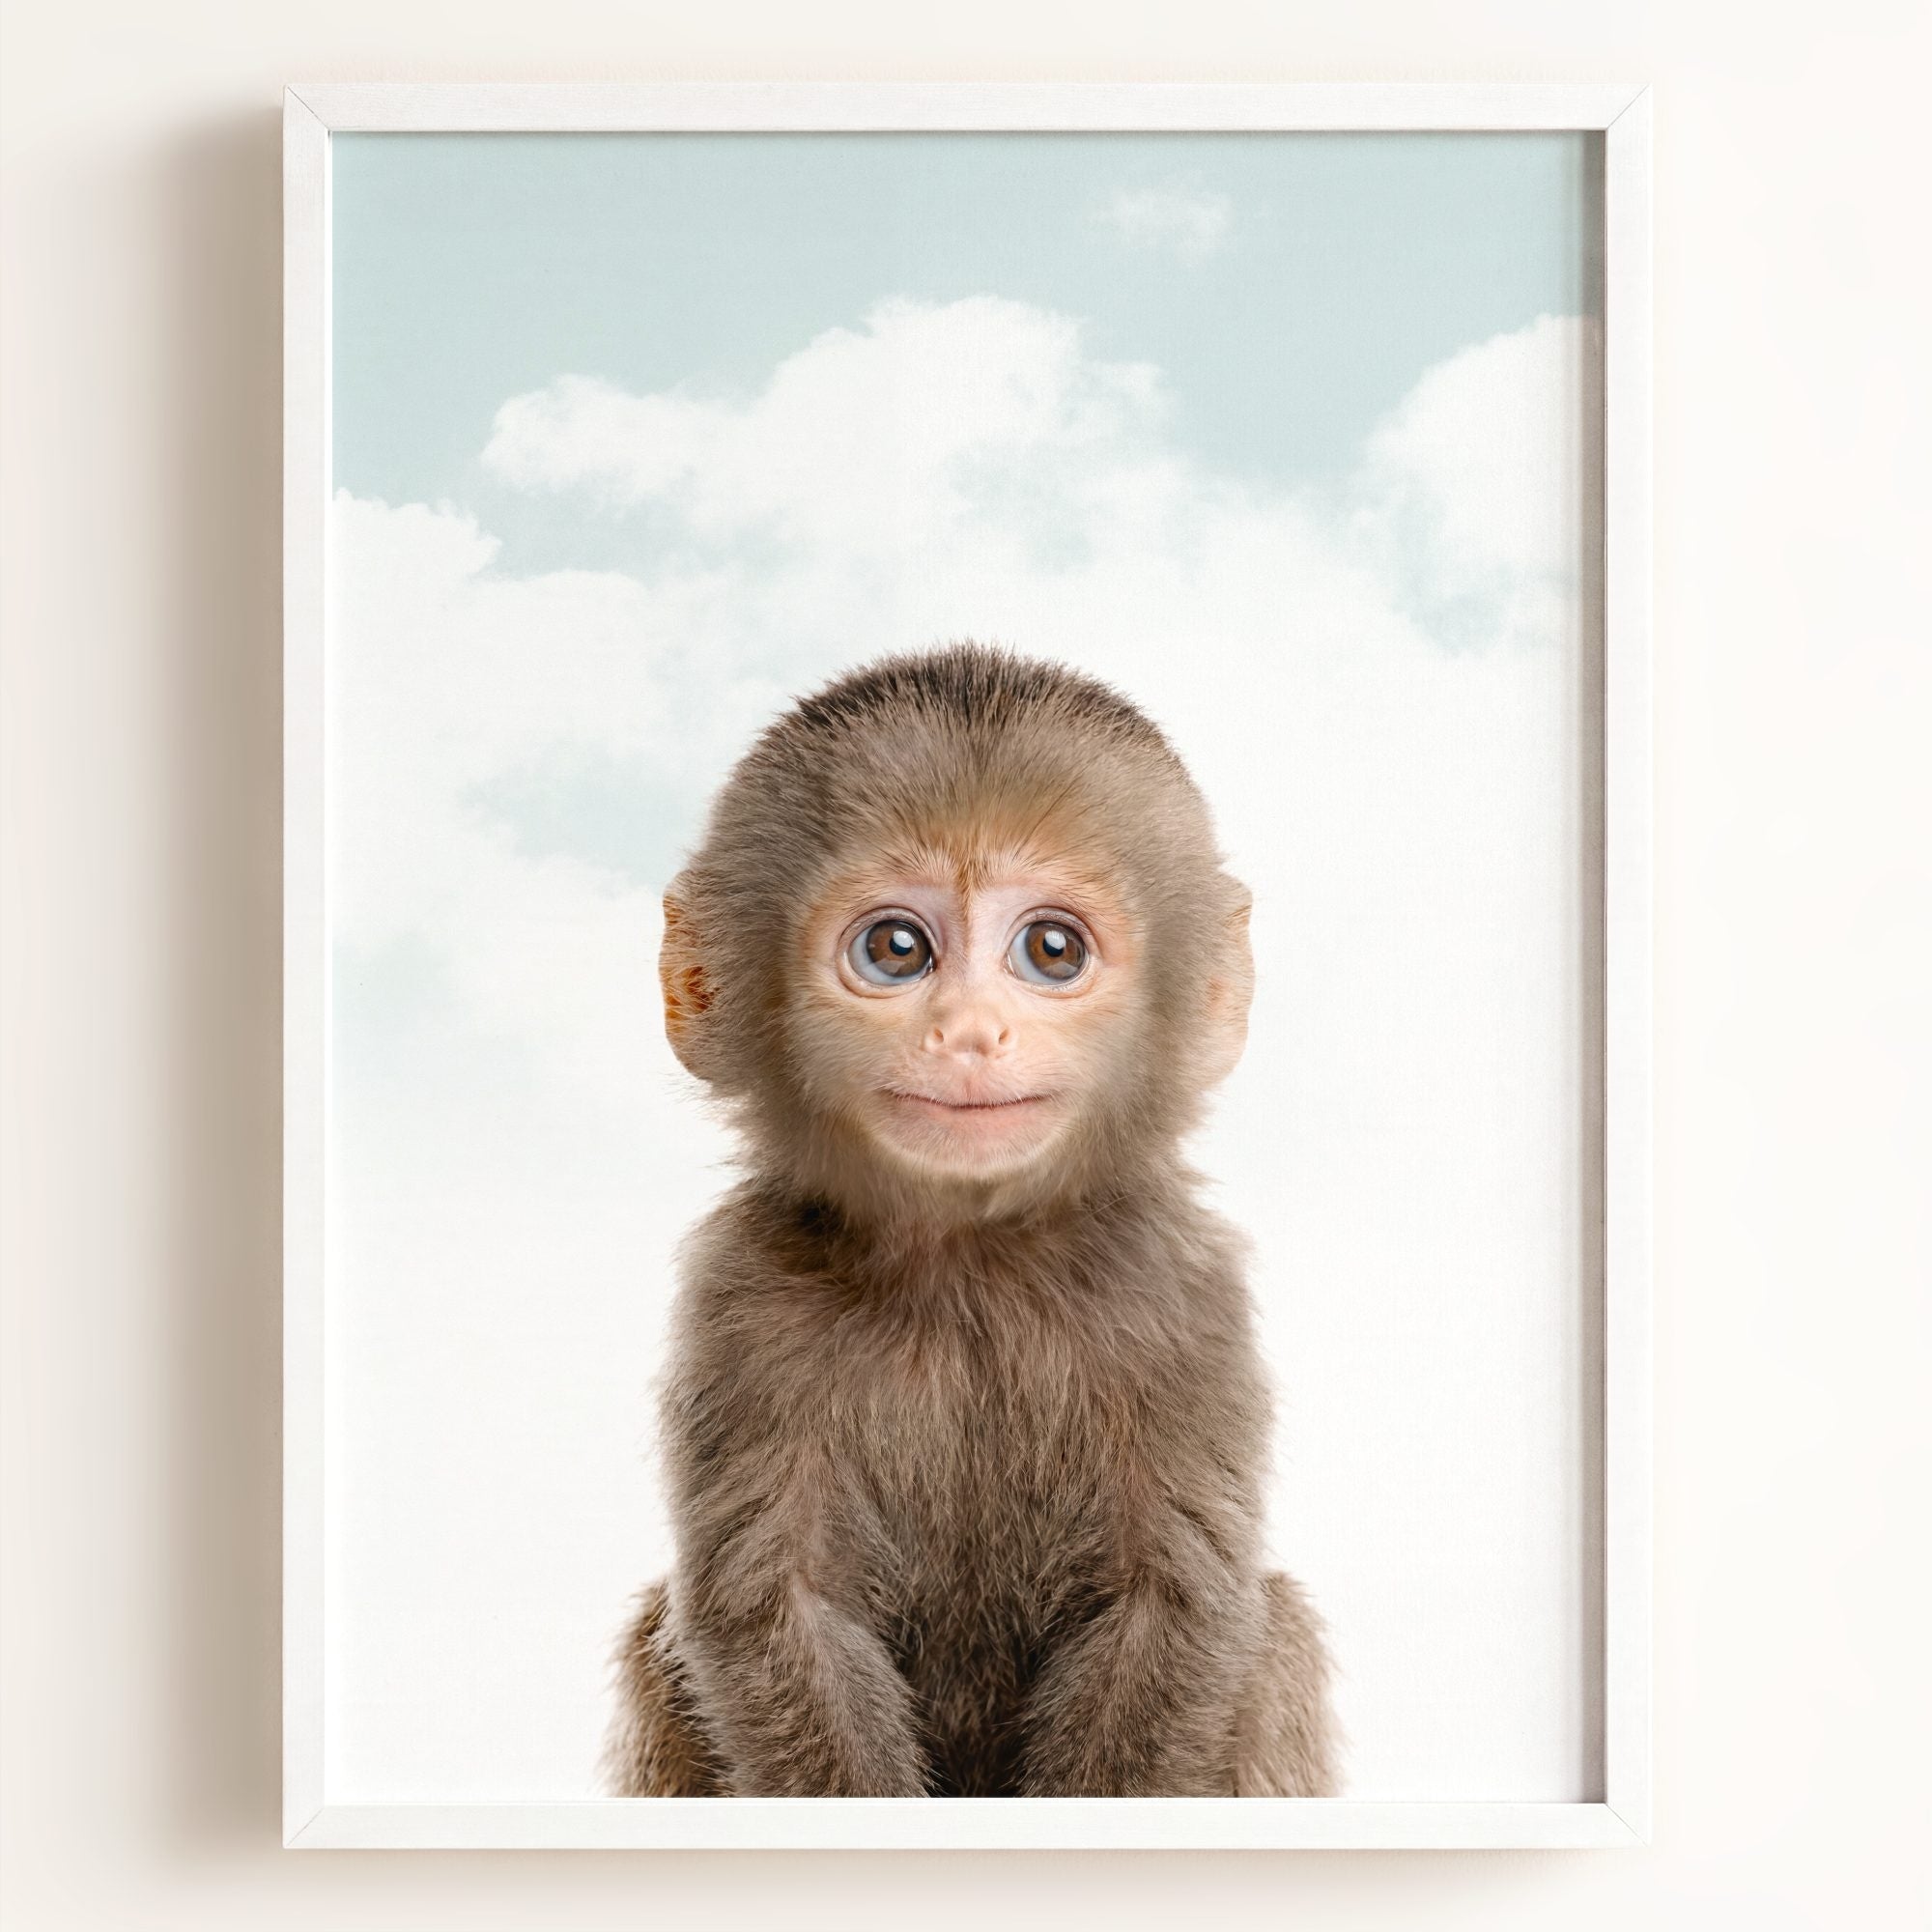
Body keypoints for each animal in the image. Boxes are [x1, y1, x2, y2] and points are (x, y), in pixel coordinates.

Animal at [604, 643, 1338, 1798]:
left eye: (1052, 950)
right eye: (897, 948)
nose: (969, 1032)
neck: (970, 1264)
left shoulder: (1184, 1292)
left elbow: (1171, 1604)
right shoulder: (740, 1296)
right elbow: (778, 1610)